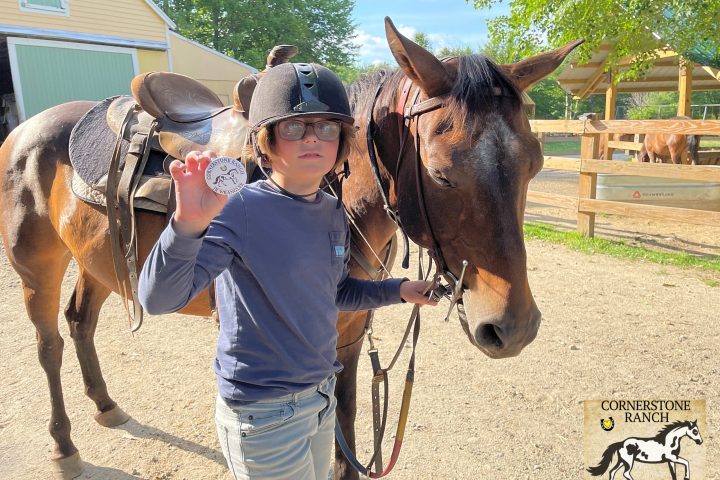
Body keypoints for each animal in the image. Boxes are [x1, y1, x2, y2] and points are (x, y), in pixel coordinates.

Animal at [0, 16, 581, 480]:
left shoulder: (349, 335)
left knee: (81, 321)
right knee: (49, 343)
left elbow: (346, 429)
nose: (513, 327)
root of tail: (27, 129)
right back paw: (64, 446)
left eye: (536, 164)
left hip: (96, 262)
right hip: (37, 267)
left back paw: (105, 404)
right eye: (440, 173)